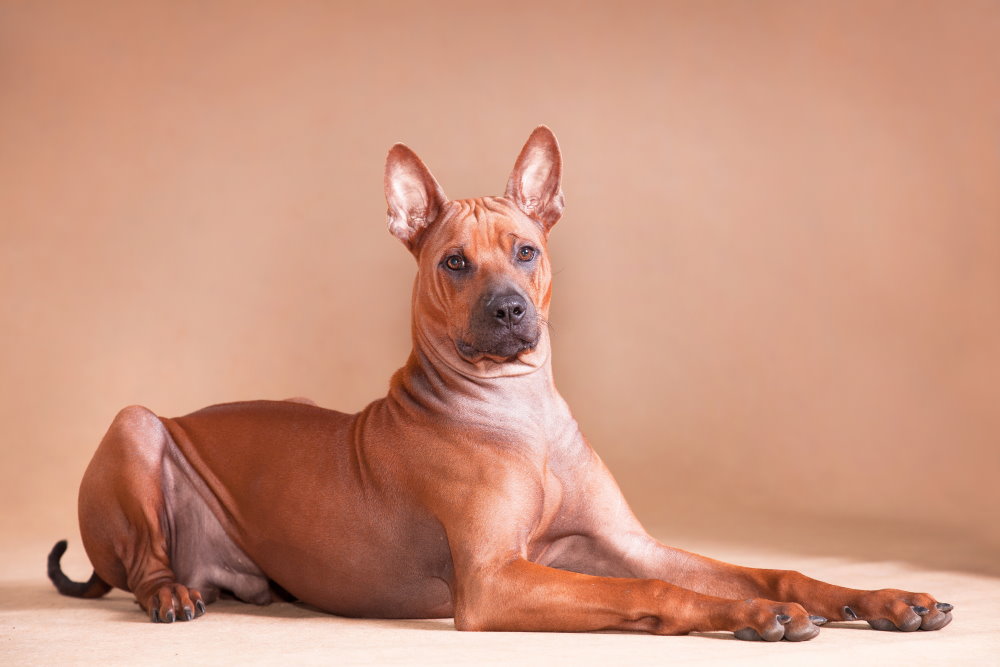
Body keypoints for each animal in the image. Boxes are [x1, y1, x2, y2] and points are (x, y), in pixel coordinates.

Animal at [48, 126, 952, 640]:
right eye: (454, 262)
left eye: (525, 250)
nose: (511, 309)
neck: (522, 414)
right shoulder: (494, 579)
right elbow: (662, 587)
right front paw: (754, 617)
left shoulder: (623, 542)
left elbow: (773, 569)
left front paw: (884, 598)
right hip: (136, 425)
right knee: (145, 560)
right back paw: (170, 594)